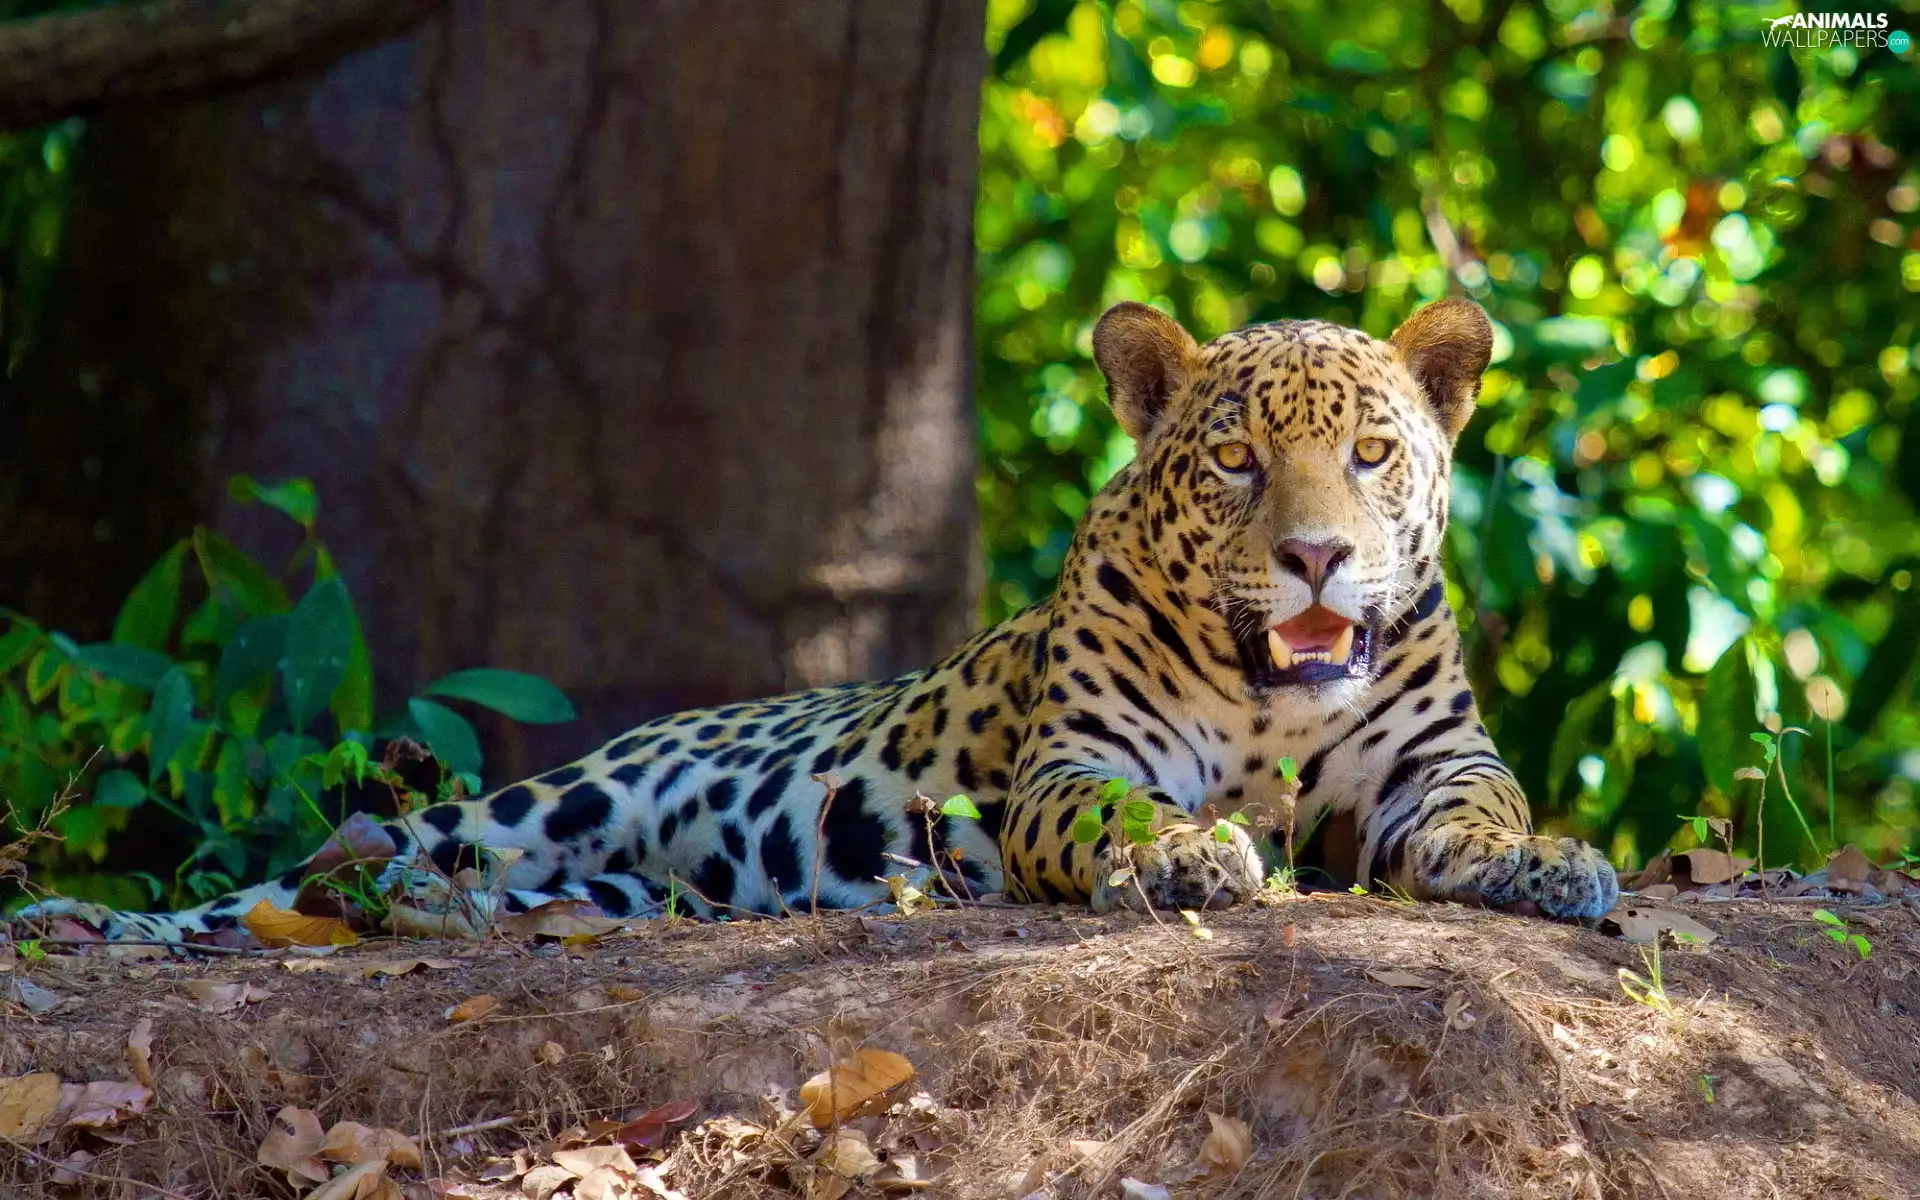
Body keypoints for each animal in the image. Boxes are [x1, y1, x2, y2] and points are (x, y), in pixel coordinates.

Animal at [17, 299, 1618, 943]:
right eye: (1234, 460)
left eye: (1372, 453)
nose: (1315, 558)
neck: (1275, 694)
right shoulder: (1070, 765)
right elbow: (1119, 817)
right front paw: (1186, 857)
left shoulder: (1434, 761)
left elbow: (1483, 811)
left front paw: (1547, 865)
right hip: (533, 802)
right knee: (289, 883)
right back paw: (94, 924)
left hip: (611, 891)